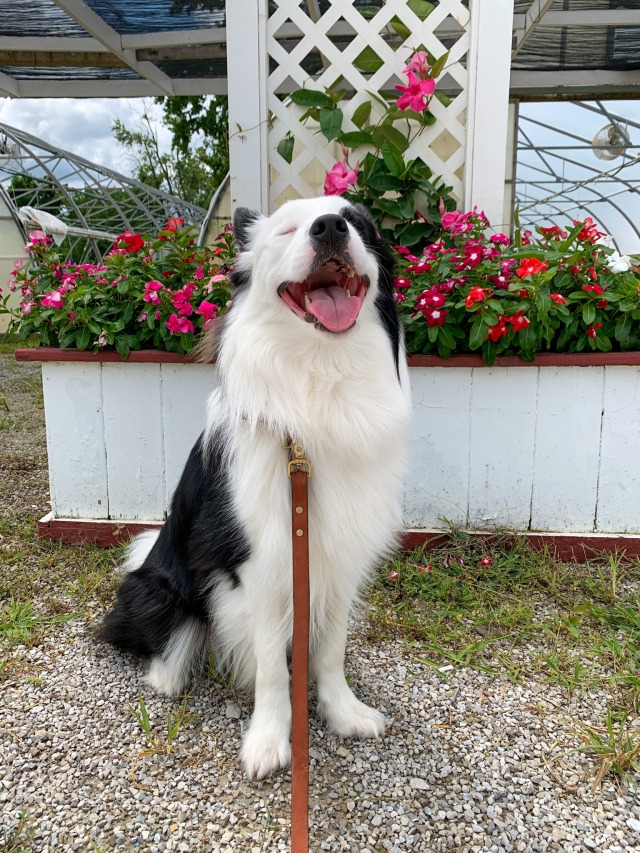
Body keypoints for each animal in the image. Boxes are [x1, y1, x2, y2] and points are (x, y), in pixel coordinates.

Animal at [100, 198, 410, 780]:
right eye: (287, 228)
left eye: (359, 224)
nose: (330, 228)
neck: (320, 378)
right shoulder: (258, 562)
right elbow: (269, 665)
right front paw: (268, 740)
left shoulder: (338, 557)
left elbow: (330, 649)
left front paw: (343, 712)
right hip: (158, 589)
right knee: (167, 635)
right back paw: (167, 675)